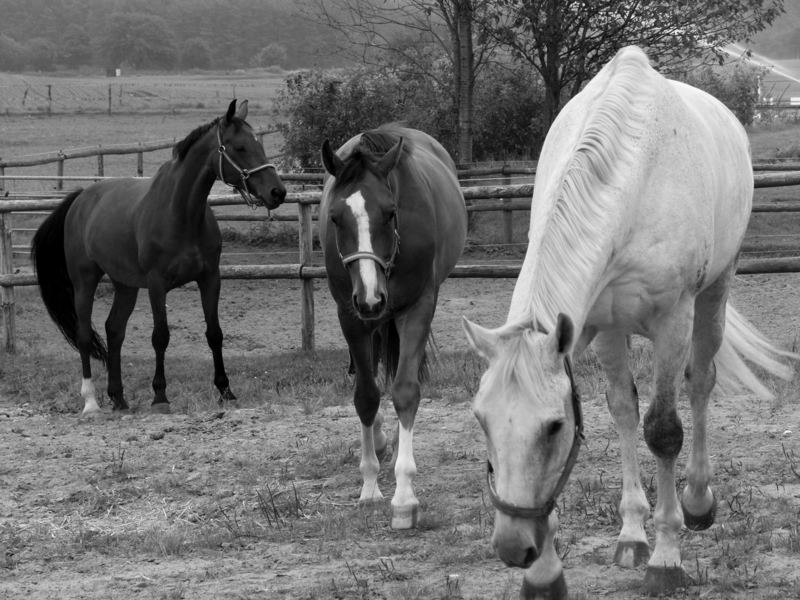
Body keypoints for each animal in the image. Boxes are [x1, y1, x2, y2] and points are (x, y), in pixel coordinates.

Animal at [32, 99, 288, 418]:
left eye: (259, 144)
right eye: (239, 147)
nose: (278, 192)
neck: (181, 213)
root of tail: (80, 198)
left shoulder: (210, 278)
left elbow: (214, 333)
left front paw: (225, 391)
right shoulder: (157, 284)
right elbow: (160, 336)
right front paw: (160, 396)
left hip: (125, 285)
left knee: (114, 330)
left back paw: (119, 398)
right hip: (84, 281)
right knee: (83, 335)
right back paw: (91, 401)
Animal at [320, 124, 468, 528]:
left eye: (389, 213)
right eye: (335, 217)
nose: (371, 298)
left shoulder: (417, 308)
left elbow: (404, 391)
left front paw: (404, 497)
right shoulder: (350, 316)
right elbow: (366, 396)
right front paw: (370, 486)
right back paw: (382, 442)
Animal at [462, 44, 792, 596]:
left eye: (553, 427)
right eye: (482, 419)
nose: (513, 547)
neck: (632, 180)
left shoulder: (673, 320)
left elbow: (663, 430)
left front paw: (665, 557)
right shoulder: (603, 329)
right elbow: (620, 411)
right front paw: (601, 549)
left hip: (714, 295)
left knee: (700, 383)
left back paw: (698, 502)